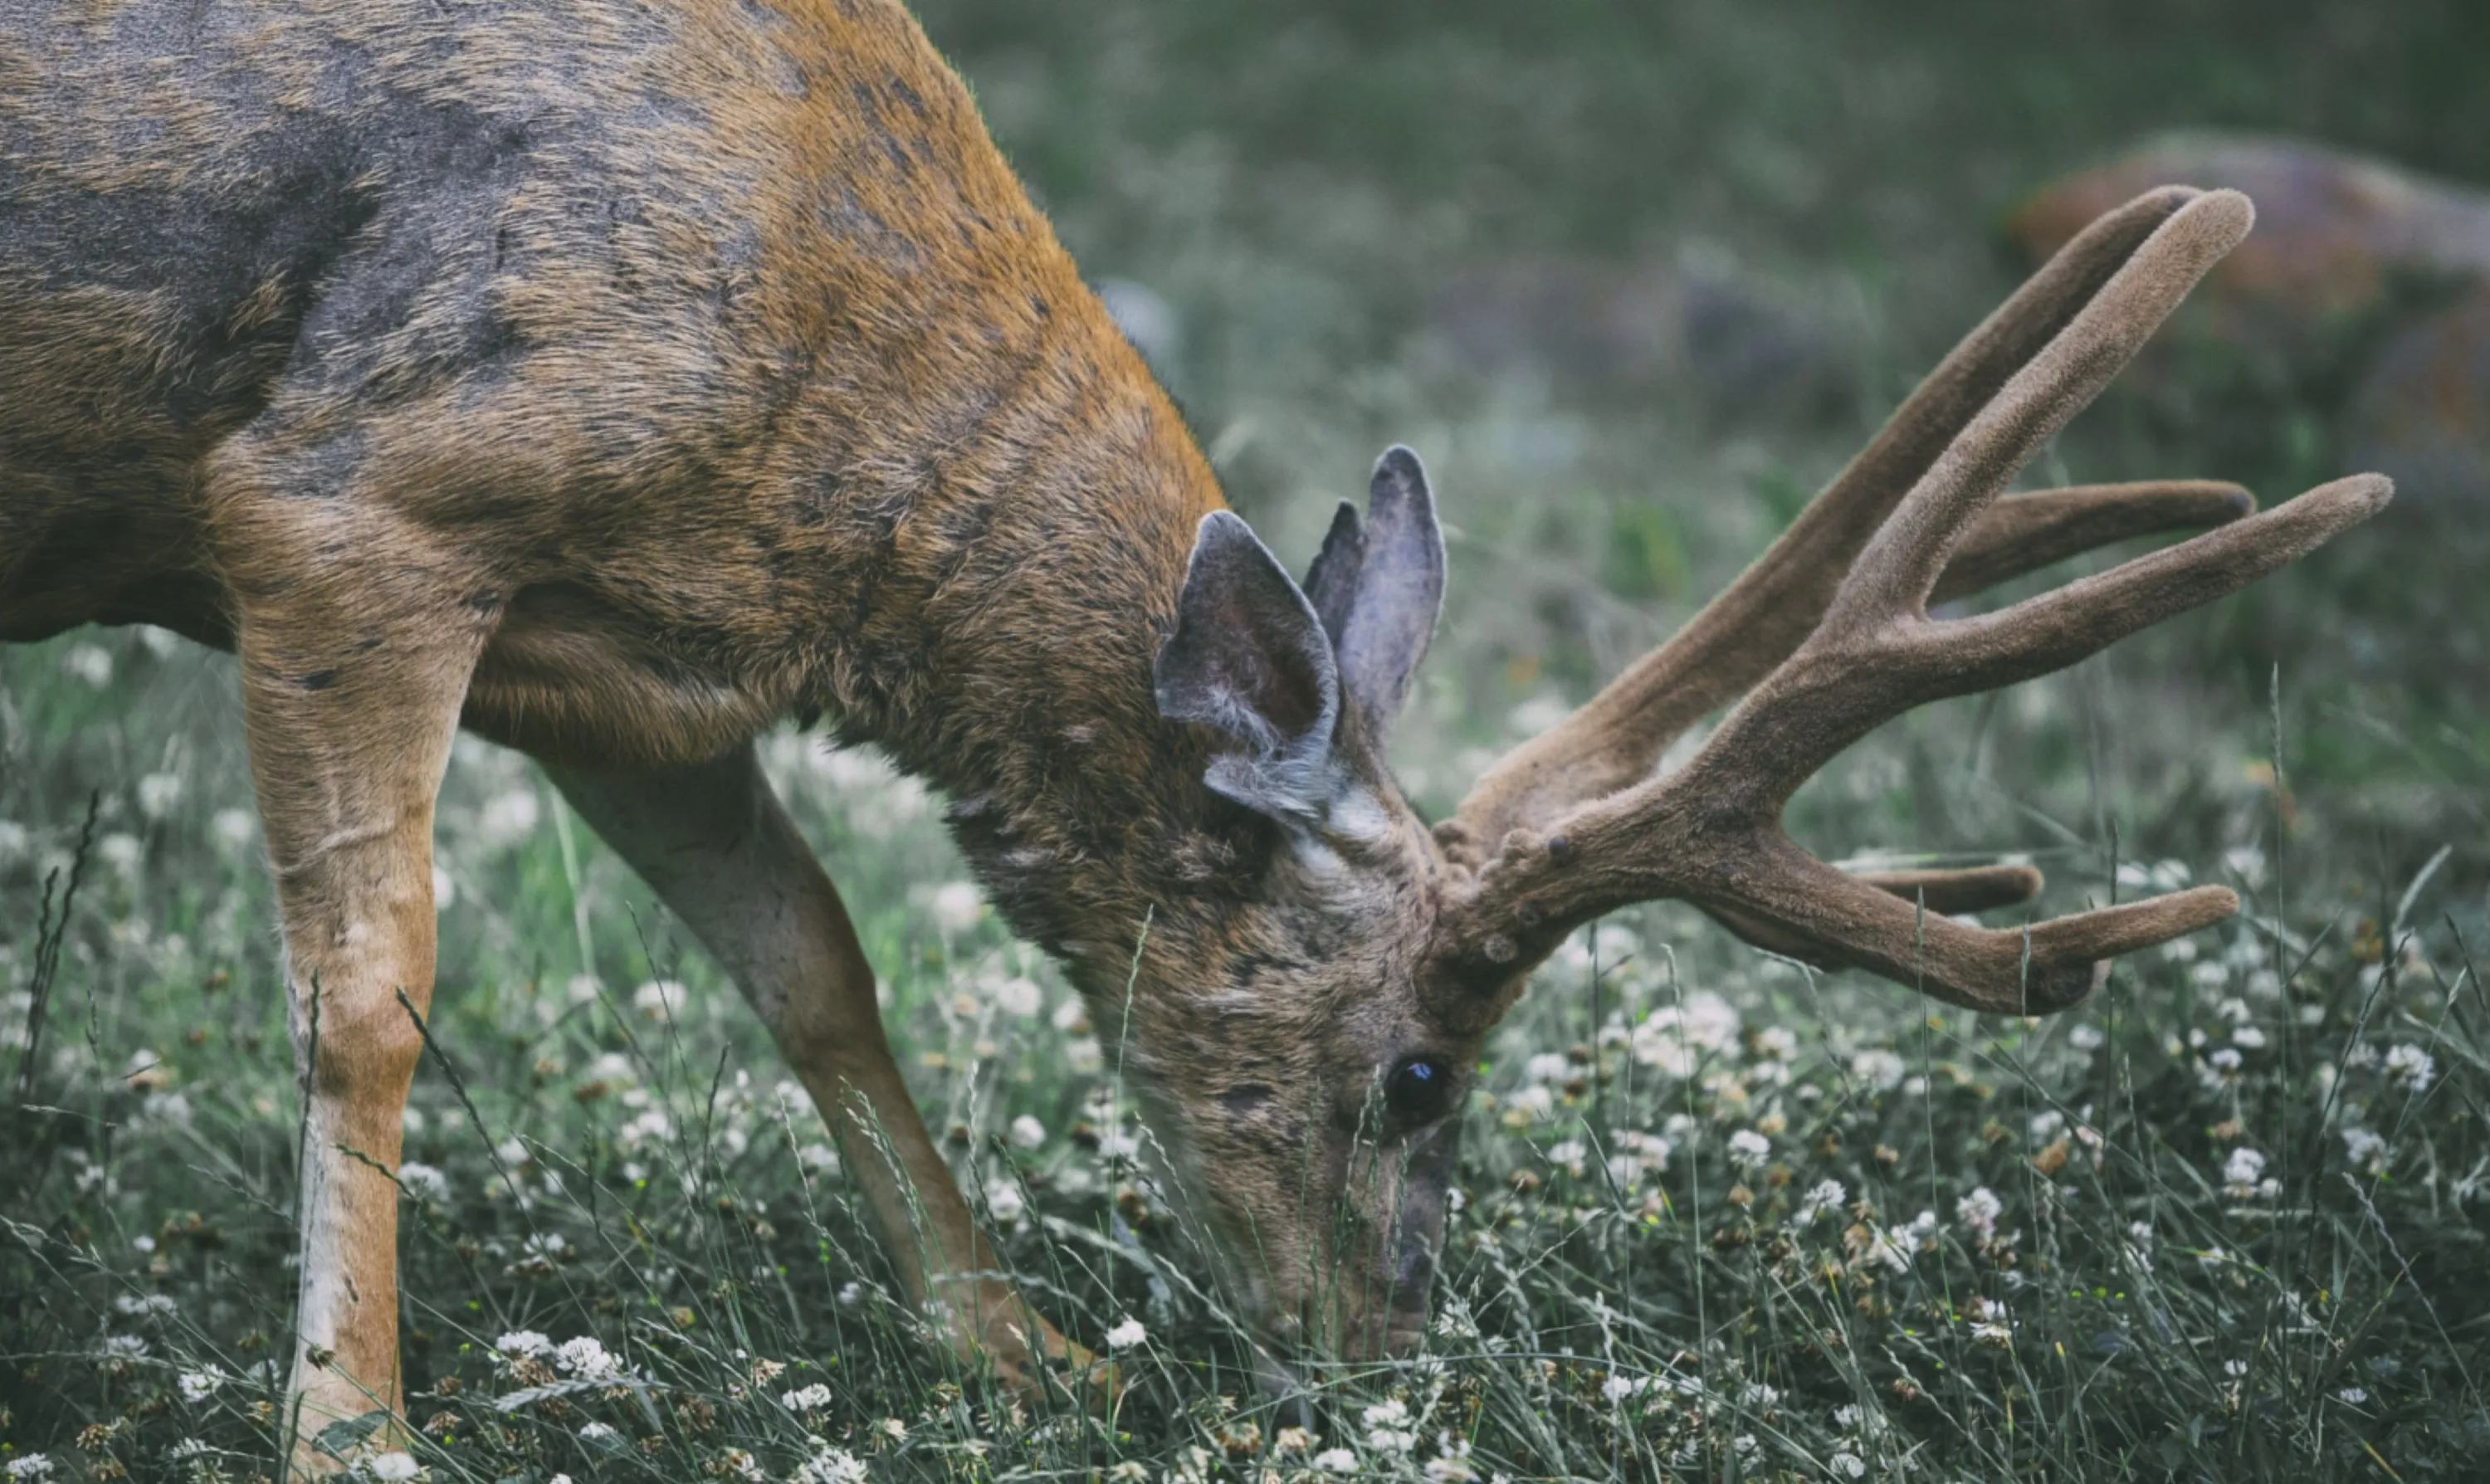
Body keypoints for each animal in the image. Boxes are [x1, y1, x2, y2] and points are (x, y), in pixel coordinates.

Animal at [0, 0, 2388, 1472]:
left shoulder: (621, 670)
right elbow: (369, 993)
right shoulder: (352, 496)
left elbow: (811, 962)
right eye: (1421, 1072)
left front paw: (1017, 1354)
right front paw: (351, 1429)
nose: (1385, 1361)